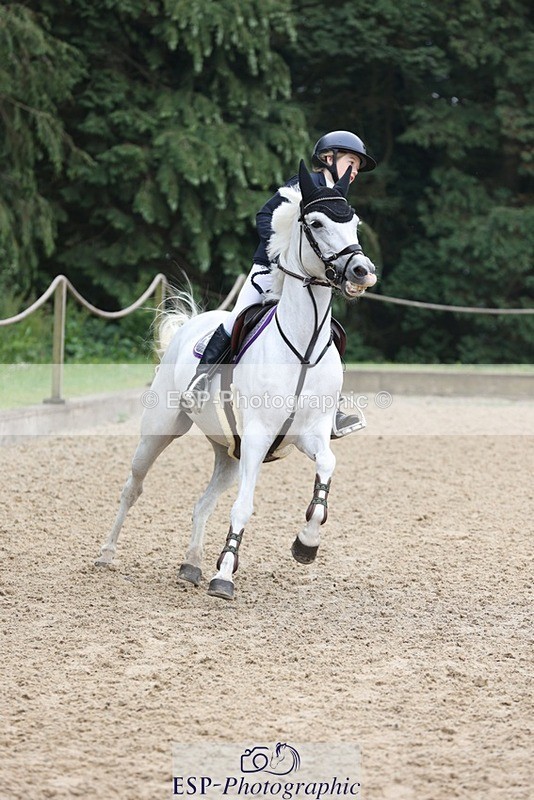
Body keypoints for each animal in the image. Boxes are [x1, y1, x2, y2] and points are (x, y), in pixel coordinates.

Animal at [95, 161, 377, 600]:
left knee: (203, 503)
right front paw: (225, 575)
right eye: (316, 222)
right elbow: (244, 507)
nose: (363, 272)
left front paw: (306, 544)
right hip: (161, 431)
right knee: (133, 487)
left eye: (355, 223)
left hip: (229, 453)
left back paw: (192, 564)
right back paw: (107, 554)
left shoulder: (308, 434)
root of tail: (190, 323)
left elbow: (326, 471)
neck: (303, 347)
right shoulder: (259, 437)